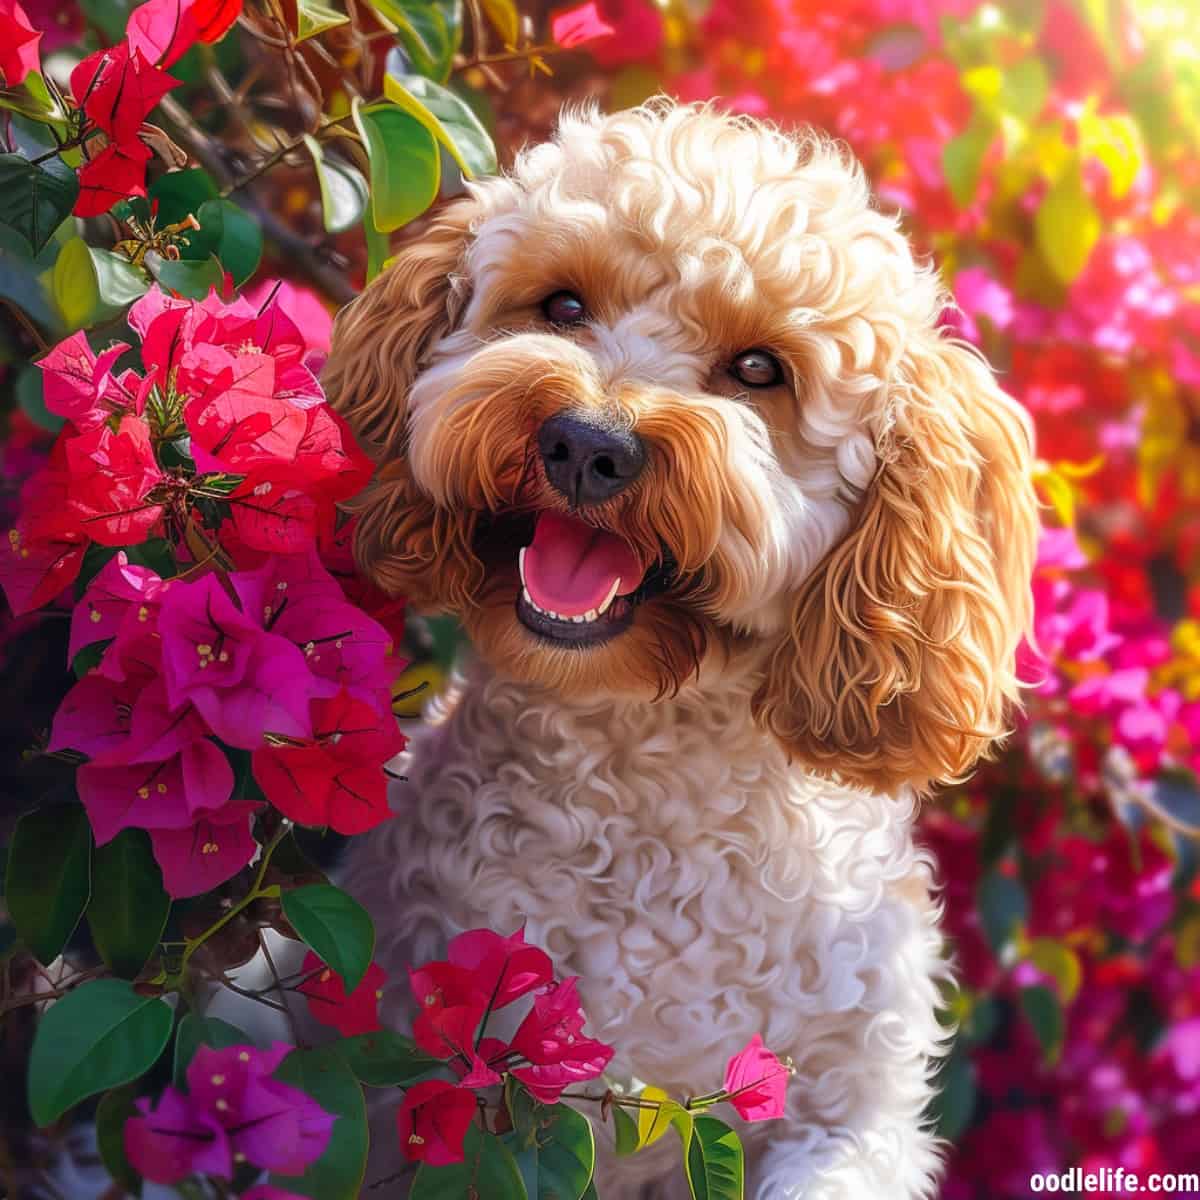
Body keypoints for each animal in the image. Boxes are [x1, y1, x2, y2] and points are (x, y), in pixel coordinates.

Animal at [328, 98, 1041, 1195]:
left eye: (760, 371)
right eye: (562, 305)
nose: (588, 444)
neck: (649, 787)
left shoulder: (852, 1117)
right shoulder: (470, 1108)